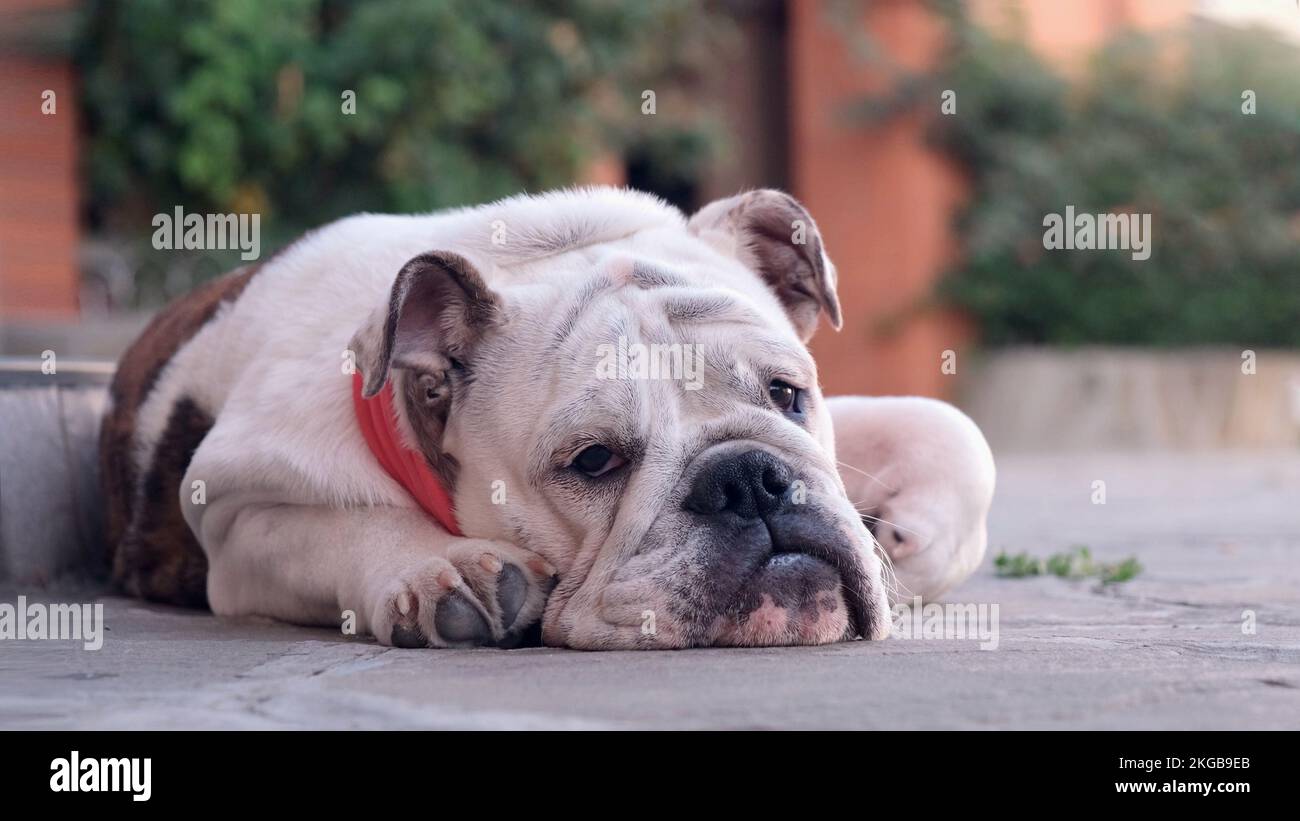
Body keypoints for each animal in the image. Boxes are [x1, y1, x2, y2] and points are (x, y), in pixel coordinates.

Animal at [98, 185, 977, 646]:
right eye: (593, 460)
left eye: (788, 394)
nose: (749, 480)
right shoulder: (234, 510)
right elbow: (337, 525)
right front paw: (443, 568)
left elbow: (954, 431)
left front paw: (910, 538)